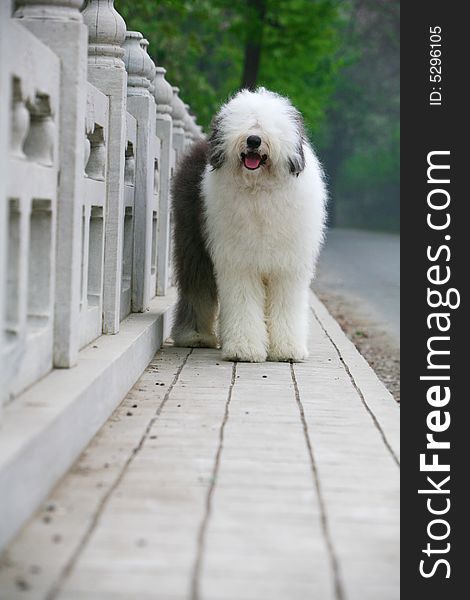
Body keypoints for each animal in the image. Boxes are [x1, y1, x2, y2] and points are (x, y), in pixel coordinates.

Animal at [170, 87, 326, 360]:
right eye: (244, 122)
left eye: (266, 126)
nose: (253, 140)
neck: (258, 189)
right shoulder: (239, 262)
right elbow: (242, 303)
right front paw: (244, 349)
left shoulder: (288, 266)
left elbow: (286, 305)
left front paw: (287, 349)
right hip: (193, 241)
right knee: (197, 286)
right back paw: (195, 336)